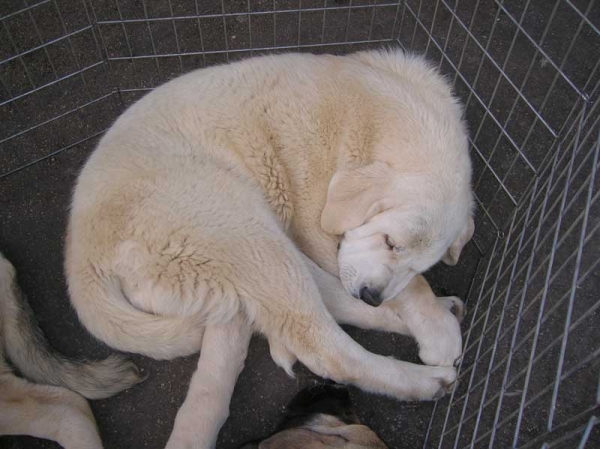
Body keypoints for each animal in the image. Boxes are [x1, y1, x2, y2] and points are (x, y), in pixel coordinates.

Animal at [63, 50, 472, 444]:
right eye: (389, 241)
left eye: (419, 262)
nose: (372, 296)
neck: (380, 114)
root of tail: (81, 255)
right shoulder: (317, 227)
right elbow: (407, 289)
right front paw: (438, 334)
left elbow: (398, 285)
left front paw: (426, 310)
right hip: (245, 229)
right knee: (325, 346)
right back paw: (423, 378)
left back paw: (440, 311)